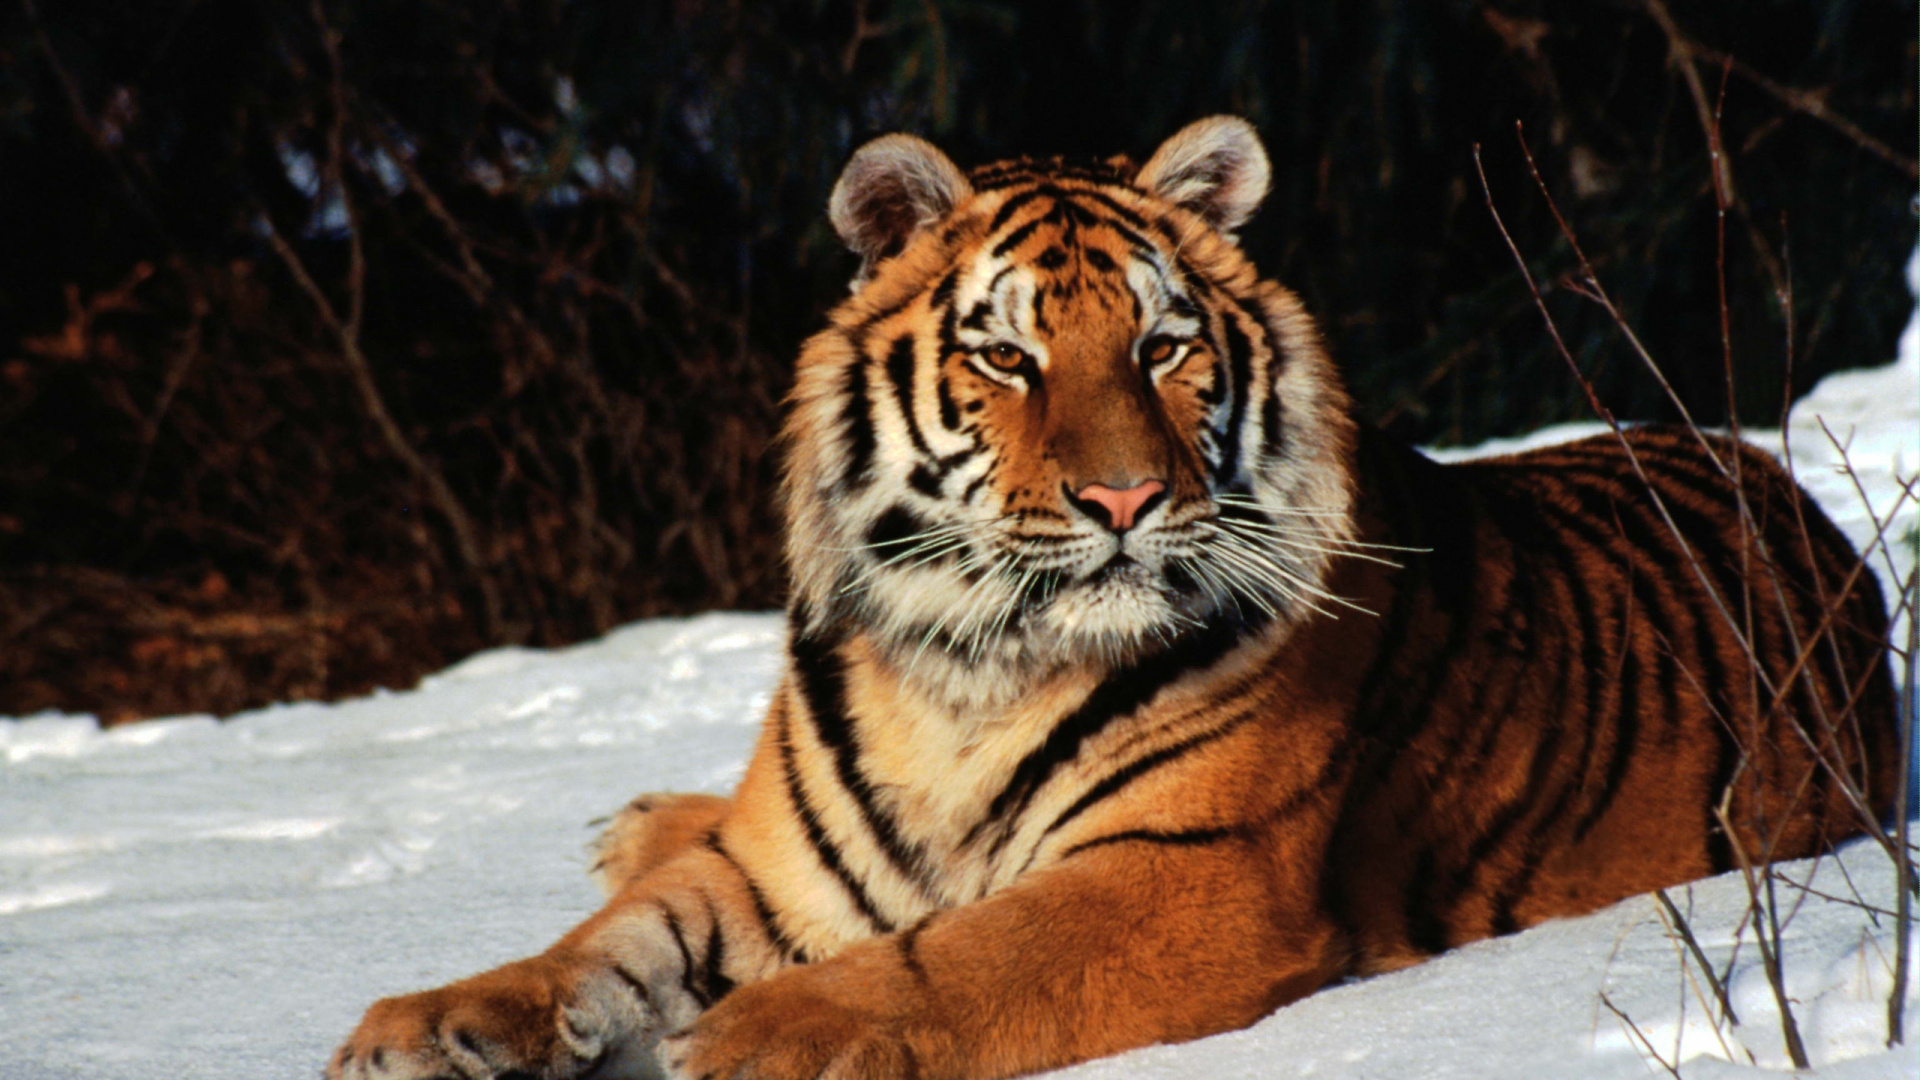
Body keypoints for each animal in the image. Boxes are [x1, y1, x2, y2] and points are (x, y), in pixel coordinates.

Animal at [329, 116, 1899, 1080]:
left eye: (1162, 348)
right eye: (1008, 359)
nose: (1126, 501)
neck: (965, 669)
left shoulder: (1185, 872)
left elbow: (950, 959)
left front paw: (754, 1037)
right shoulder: (780, 867)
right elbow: (606, 946)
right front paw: (432, 1020)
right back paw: (632, 822)